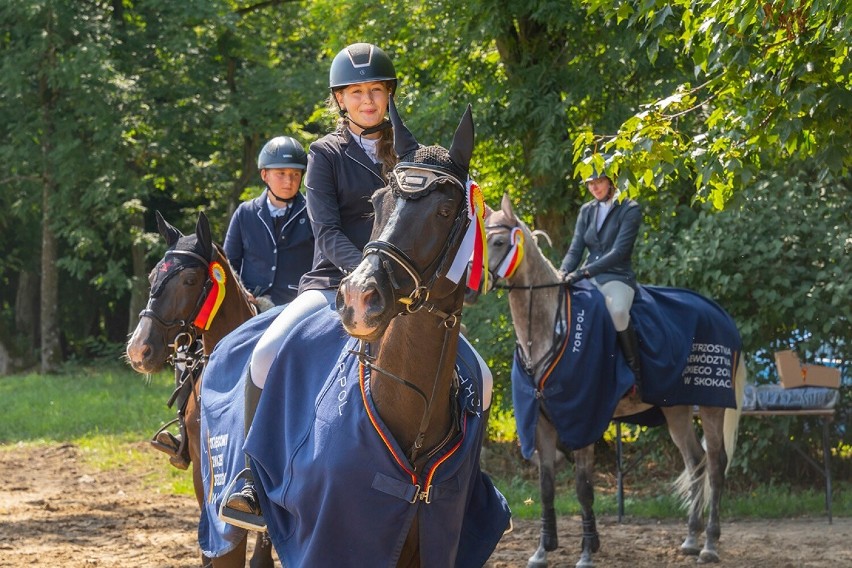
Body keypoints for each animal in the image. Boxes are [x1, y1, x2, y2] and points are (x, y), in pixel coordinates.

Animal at [472, 193, 744, 564]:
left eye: (500, 242)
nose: (473, 284)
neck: (549, 327)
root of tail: (720, 314)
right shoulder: (541, 423)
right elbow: (546, 488)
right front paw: (543, 549)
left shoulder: (582, 421)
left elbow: (583, 489)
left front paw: (587, 550)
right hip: (676, 408)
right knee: (695, 462)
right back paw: (690, 538)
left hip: (712, 405)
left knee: (716, 464)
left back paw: (710, 545)